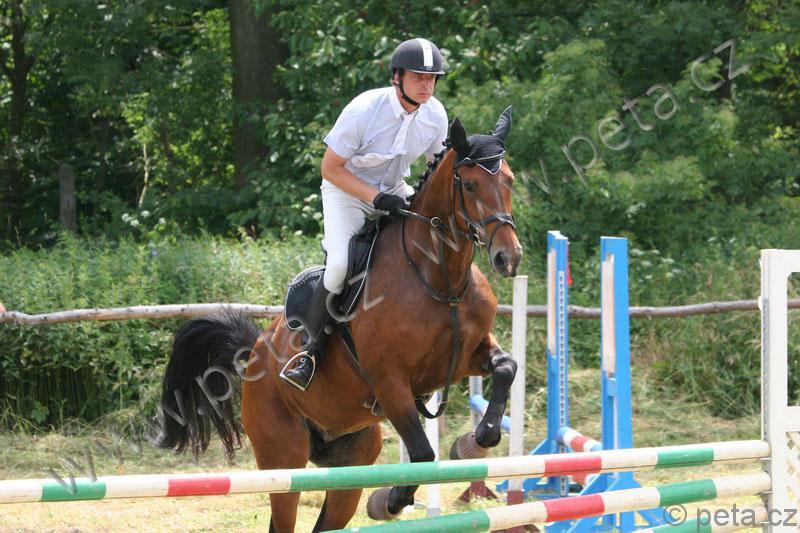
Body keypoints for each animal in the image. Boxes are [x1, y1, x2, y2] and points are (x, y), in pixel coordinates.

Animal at [154, 106, 523, 532]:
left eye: (509, 180)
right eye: (471, 184)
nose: (508, 258)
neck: (438, 277)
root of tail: (255, 353)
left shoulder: (466, 356)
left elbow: (506, 368)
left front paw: (482, 436)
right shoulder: (389, 381)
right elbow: (421, 452)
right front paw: (393, 499)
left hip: (350, 463)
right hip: (284, 459)